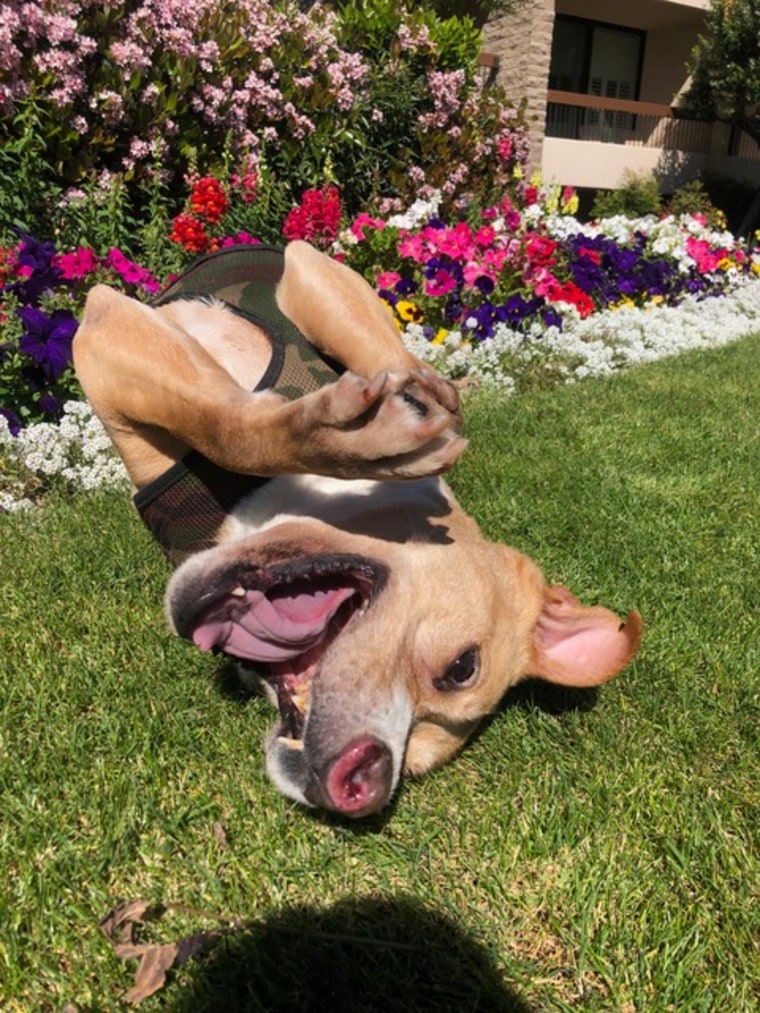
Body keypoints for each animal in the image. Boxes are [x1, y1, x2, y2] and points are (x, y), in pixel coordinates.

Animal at [74, 241, 644, 818]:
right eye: (462, 666)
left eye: (413, 762)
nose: (366, 781)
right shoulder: (116, 325)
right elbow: (235, 429)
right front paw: (343, 436)